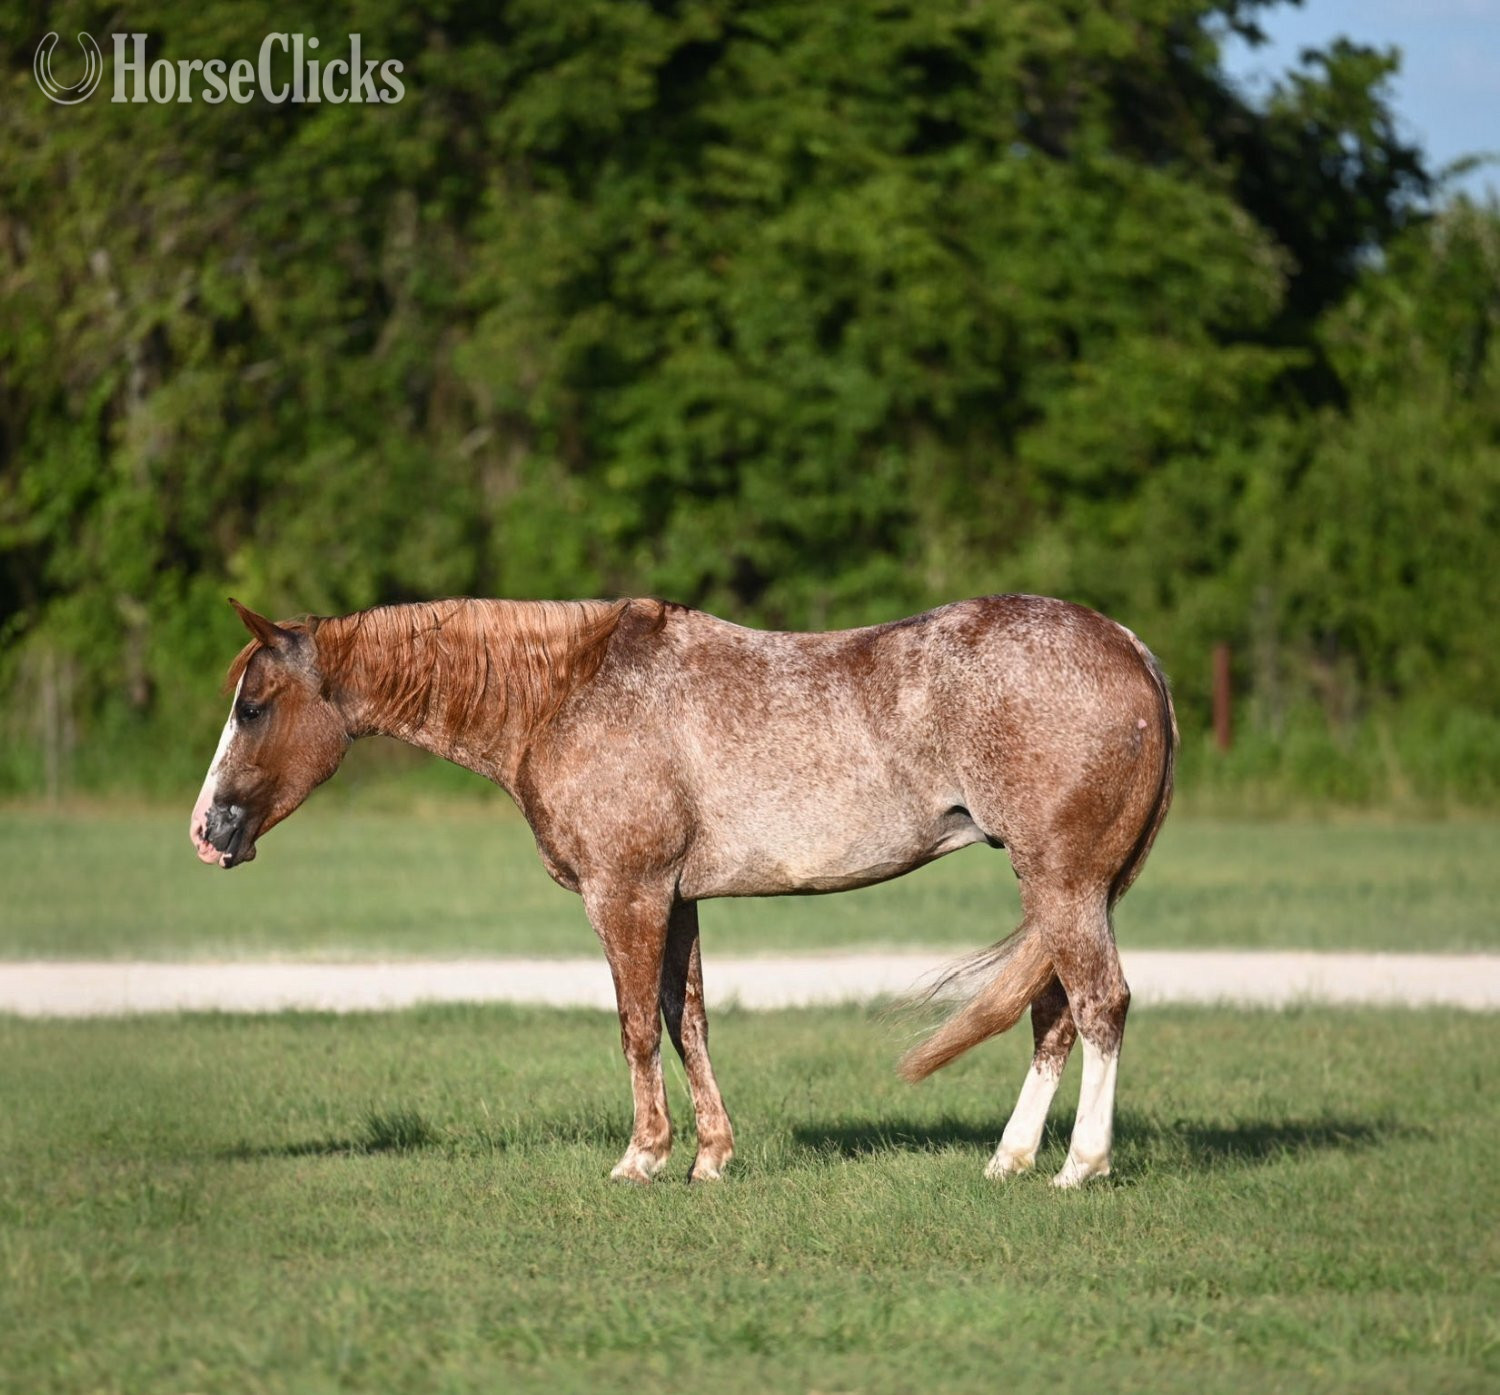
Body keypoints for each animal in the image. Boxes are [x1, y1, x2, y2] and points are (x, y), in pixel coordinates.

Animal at [190, 593, 1175, 1186]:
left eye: (252, 707)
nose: (207, 831)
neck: (565, 696)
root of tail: (1131, 645)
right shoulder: (678, 898)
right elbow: (685, 1016)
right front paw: (711, 1155)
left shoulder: (624, 893)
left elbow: (633, 1024)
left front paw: (643, 1156)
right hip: (1065, 891)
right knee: (1053, 1014)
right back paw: (1010, 1159)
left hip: (1063, 881)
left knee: (1100, 1002)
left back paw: (1081, 1164)